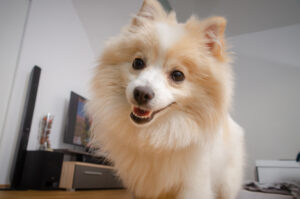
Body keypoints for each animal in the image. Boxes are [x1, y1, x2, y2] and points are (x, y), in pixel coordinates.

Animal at [88, 0, 245, 199]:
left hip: (227, 184)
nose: (142, 93)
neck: (158, 136)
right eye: (138, 63)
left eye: (177, 75)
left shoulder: (193, 184)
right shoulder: (140, 185)